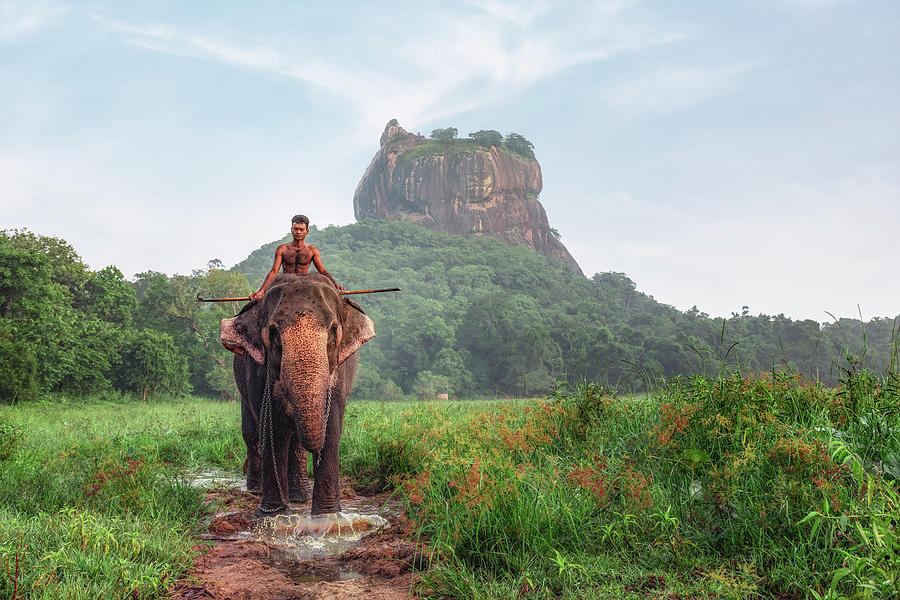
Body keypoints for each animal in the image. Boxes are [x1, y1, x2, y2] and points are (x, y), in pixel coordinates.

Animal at [221, 274, 376, 512]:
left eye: (333, 330)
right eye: (273, 332)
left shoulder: (341, 371)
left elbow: (332, 425)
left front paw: (327, 516)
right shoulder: (256, 371)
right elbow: (272, 427)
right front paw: (272, 513)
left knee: (295, 443)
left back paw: (299, 498)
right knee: (252, 435)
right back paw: (256, 490)